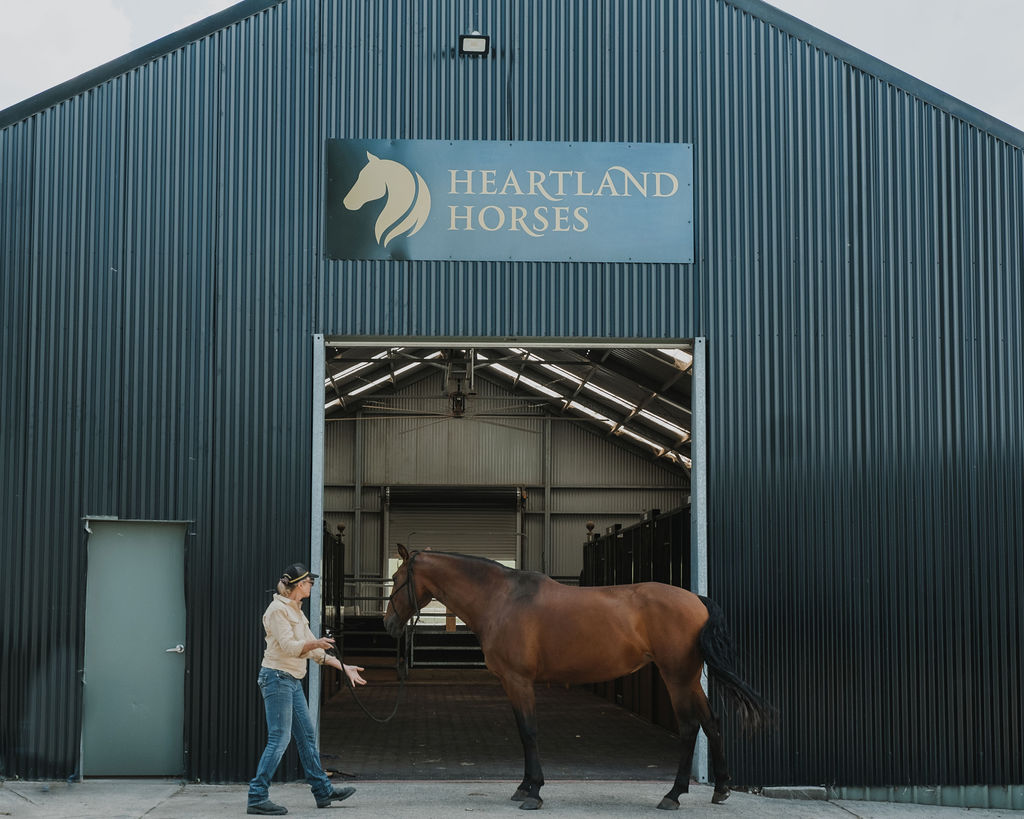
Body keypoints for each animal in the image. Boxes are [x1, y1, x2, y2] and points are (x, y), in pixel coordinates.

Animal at [383, 544, 775, 811]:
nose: (388, 625)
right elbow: (522, 733)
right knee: (712, 722)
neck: (502, 599)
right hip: (690, 679)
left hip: (676, 678)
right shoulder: (511, 683)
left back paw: (673, 795)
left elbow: (529, 731)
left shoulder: (519, 680)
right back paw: (720, 789)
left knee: (691, 727)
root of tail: (696, 599)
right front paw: (524, 786)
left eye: (398, 579)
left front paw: (534, 793)